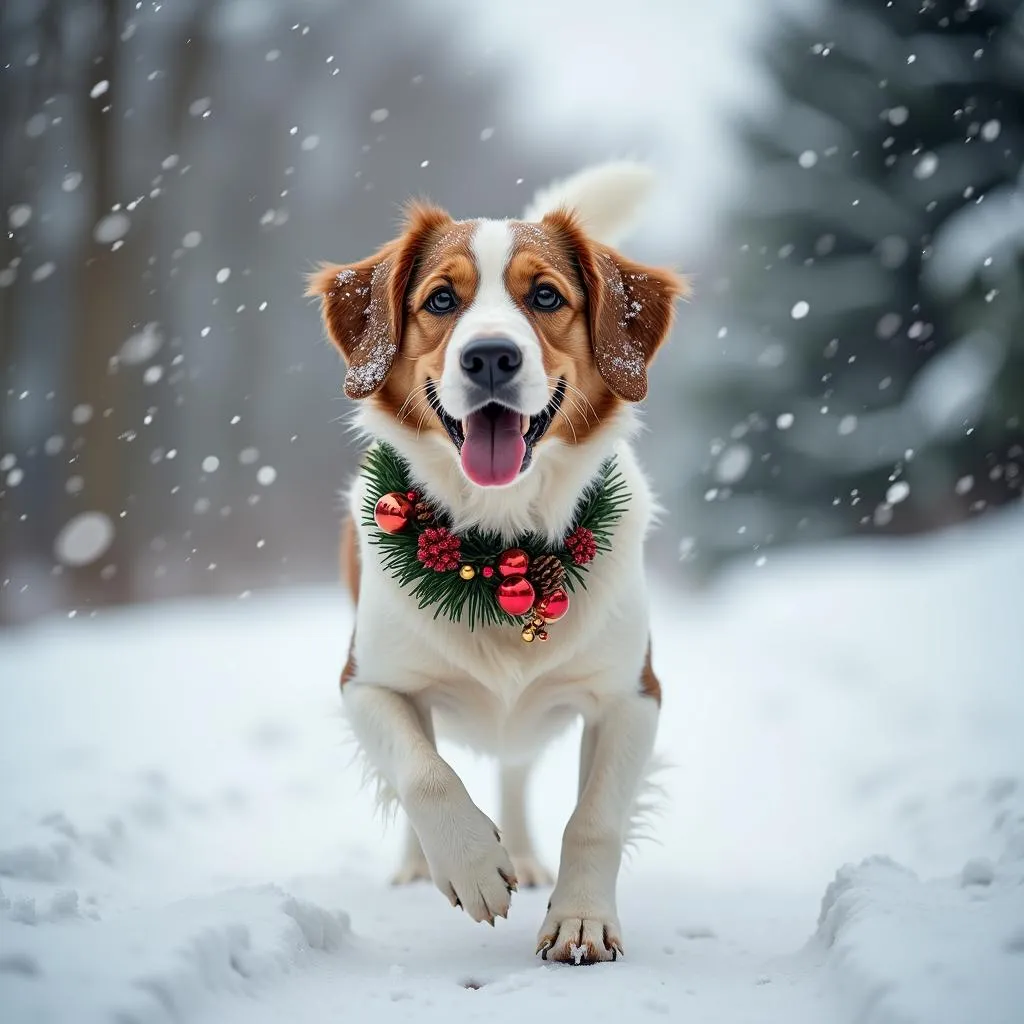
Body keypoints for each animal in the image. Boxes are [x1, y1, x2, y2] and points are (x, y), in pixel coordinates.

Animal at [305, 159, 688, 958]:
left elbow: (595, 819)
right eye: (440, 299)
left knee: (514, 768)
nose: (489, 356)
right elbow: (422, 774)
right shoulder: (365, 680)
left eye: (545, 296)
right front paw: (473, 865)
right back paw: (423, 866)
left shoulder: (633, 695)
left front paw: (580, 920)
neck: (500, 540)